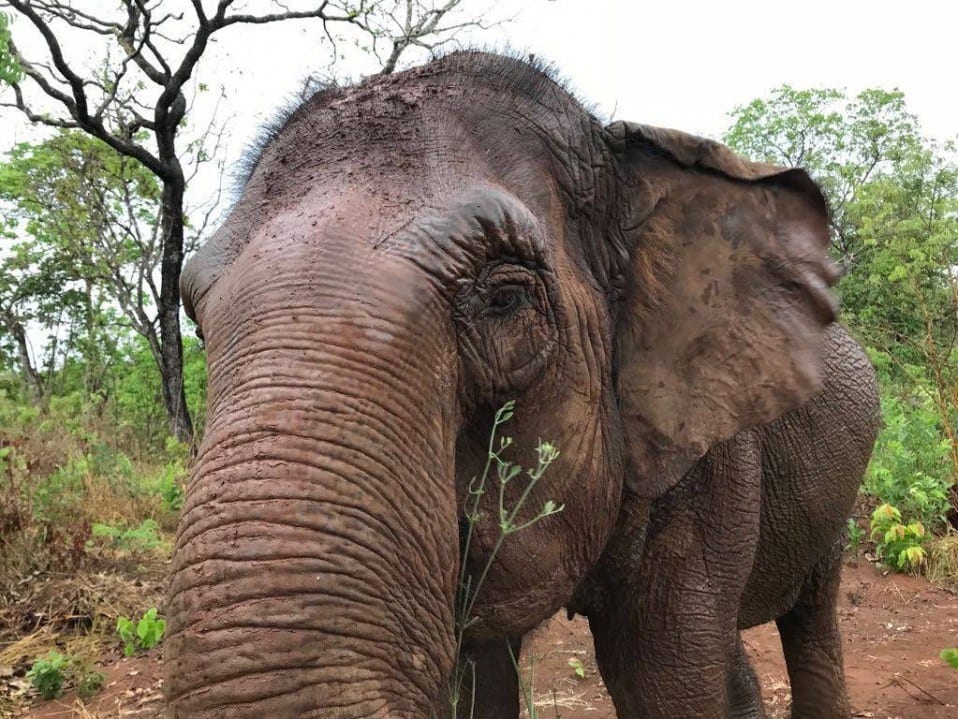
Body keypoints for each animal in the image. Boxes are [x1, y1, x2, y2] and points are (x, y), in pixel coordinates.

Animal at [167, 51, 880, 718]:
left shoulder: (708, 456)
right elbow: (479, 684)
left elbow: (663, 683)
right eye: (197, 321)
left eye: (506, 300)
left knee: (810, 615)